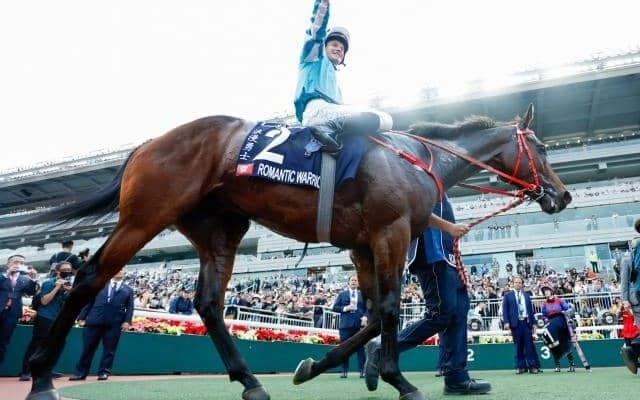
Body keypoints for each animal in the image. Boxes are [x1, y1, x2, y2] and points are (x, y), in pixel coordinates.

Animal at [8, 104, 571, 400]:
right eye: (541, 147)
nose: (563, 196)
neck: (415, 158)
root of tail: (147, 144)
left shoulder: (362, 246)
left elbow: (371, 315)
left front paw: (319, 366)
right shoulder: (389, 234)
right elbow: (389, 309)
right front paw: (397, 378)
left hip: (219, 231)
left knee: (208, 304)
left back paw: (251, 380)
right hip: (146, 216)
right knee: (89, 279)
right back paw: (40, 375)